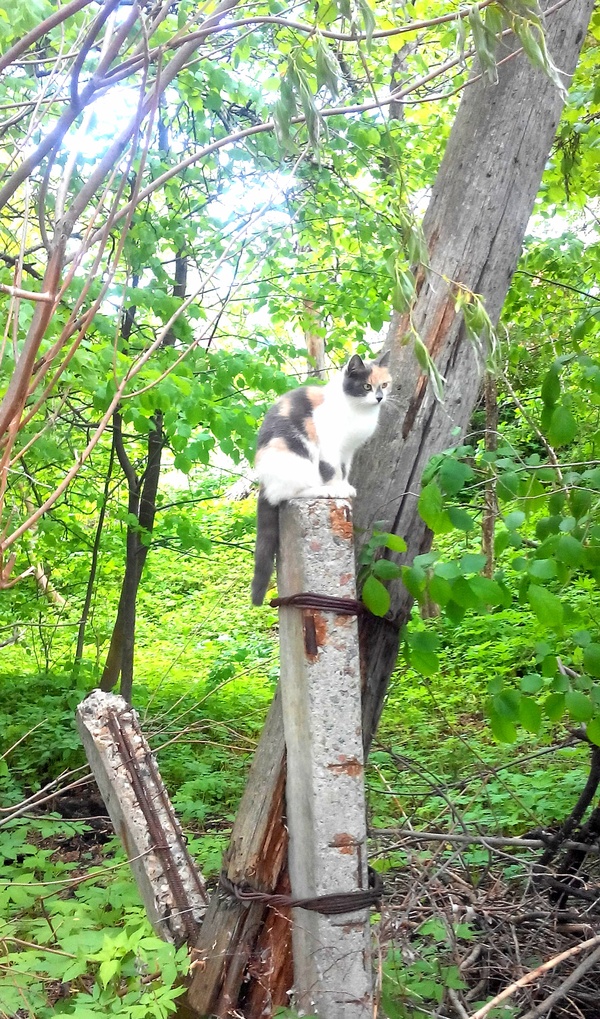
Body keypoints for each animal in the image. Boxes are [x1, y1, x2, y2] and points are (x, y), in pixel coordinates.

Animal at [250, 352, 391, 603]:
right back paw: (321, 490)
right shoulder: (329, 445)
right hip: (296, 461)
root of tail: (264, 483)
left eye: (384, 384)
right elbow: (332, 470)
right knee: (286, 493)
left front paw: (345, 486)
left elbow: (345, 470)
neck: (357, 410)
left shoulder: (348, 451)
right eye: (366, 386)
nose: (379, 398)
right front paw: (336, 487)